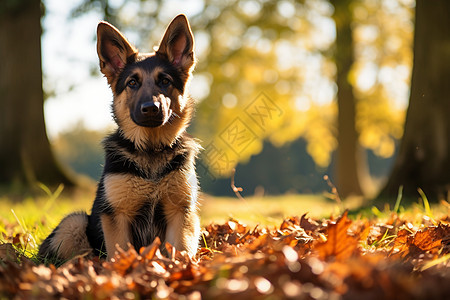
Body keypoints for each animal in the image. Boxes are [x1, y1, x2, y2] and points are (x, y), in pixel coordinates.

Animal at [38, 14, 200, 262]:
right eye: (132, 83)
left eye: (165, 81)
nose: (151, 108)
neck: (150, 149)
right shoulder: (117, 215)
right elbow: (119, 252)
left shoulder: (180, 212)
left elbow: (179, 250)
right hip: (74, 222)